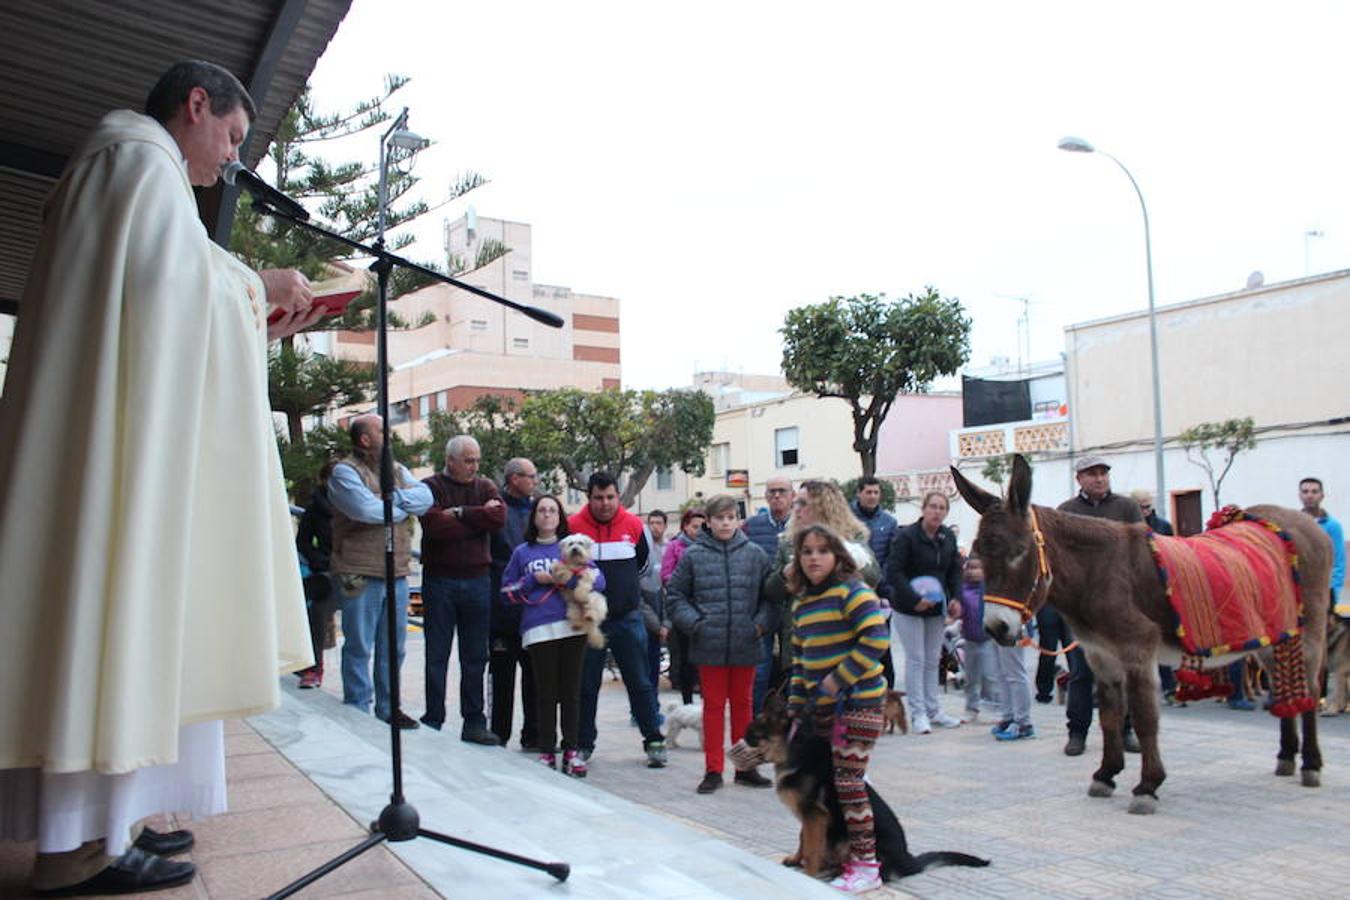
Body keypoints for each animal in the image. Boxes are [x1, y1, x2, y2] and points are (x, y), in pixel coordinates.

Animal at [745, 696, 988, 879]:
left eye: (753, 732)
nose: (742, 738)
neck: (791, 744)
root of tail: (909, 860)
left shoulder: (815, 815)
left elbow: (812, 847)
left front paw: (808, 873)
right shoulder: (810, 816)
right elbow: (803, 838)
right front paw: (797, 859)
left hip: (847, 841)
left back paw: (838, 872)